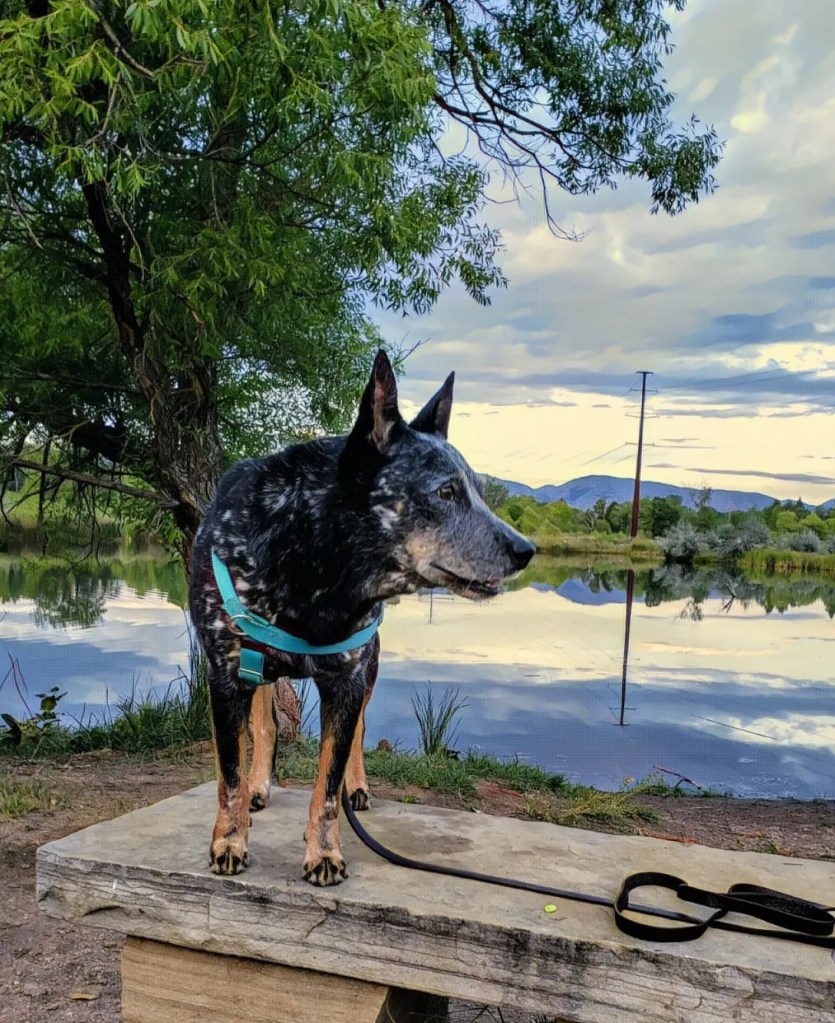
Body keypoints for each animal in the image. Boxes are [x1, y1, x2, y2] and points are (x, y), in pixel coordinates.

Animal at [189, 350, 535, 886]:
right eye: (445, 492)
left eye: (478, 490)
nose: (526, 550)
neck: (313, 567)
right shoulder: (226, 676)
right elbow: (230, 774)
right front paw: (230, 839)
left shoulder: (346, 681)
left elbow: (328, 783)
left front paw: (324, 851)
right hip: (259, 669)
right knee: (265, 727)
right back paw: (259, 786)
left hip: (367, 669)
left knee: (358, 733)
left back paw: (355, 786)